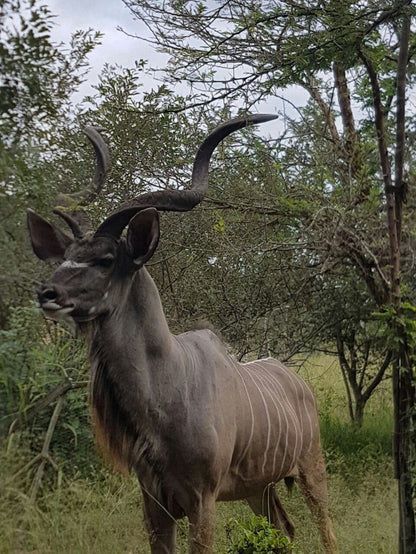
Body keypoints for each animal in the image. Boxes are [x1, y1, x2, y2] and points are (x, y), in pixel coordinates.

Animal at [26, 114, 338, 548]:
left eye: (106, 259)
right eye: (66, 257)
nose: (47, 293)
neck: (165, 391)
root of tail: (297, 382)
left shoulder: (201, 501)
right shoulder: (154, 504)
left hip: (312, 467)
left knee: (326, 530)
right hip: (258, 488)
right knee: (285, 528)